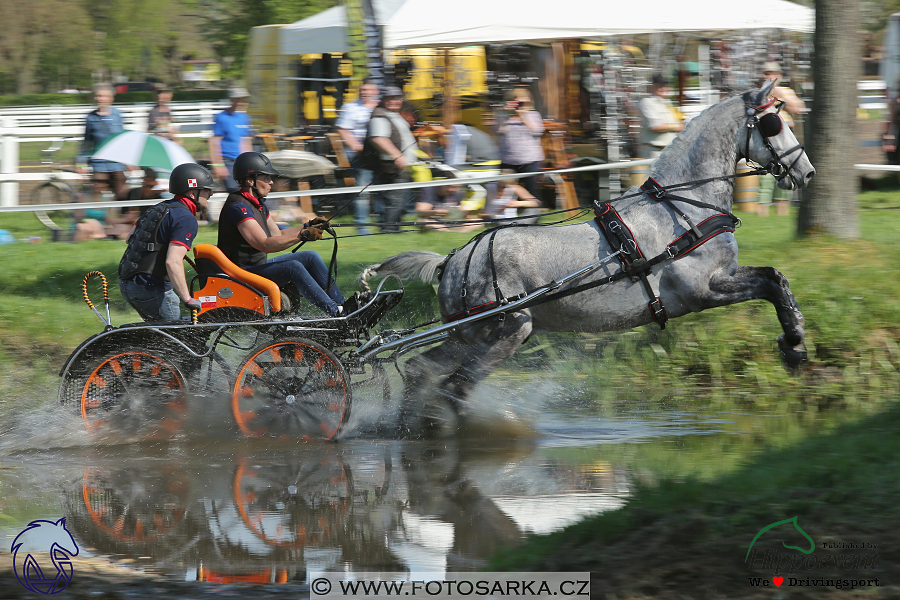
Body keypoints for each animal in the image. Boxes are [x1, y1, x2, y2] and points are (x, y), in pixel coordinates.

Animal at [360, 82, 816, 434]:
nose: (807, 172)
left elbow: (777, 278)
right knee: (453, 388)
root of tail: (451, 261)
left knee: (421, 371)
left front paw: (794, 345)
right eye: (775, 123)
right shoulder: (704, 290)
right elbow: (770, 284)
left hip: (466, 335)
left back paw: (405, 428)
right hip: (504, 333)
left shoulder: (726, 277)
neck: (682, 205)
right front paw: (794, 343)